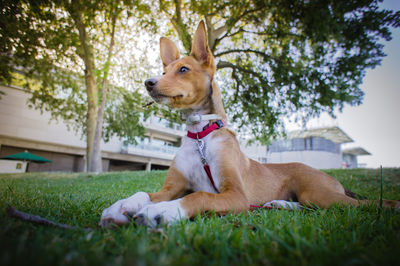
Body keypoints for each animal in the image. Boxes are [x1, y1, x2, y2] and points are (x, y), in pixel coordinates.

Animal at [99, 21, 396, 229]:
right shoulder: (170, 188)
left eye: (183, 69)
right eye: (164, 71)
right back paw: (280, 204)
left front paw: (163, 211)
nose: (149, 83)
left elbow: (198, 196)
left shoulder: (236, 195)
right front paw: (120, 208)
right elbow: (142, 192)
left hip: (318, 192)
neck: (200, 137)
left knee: (372, 202)